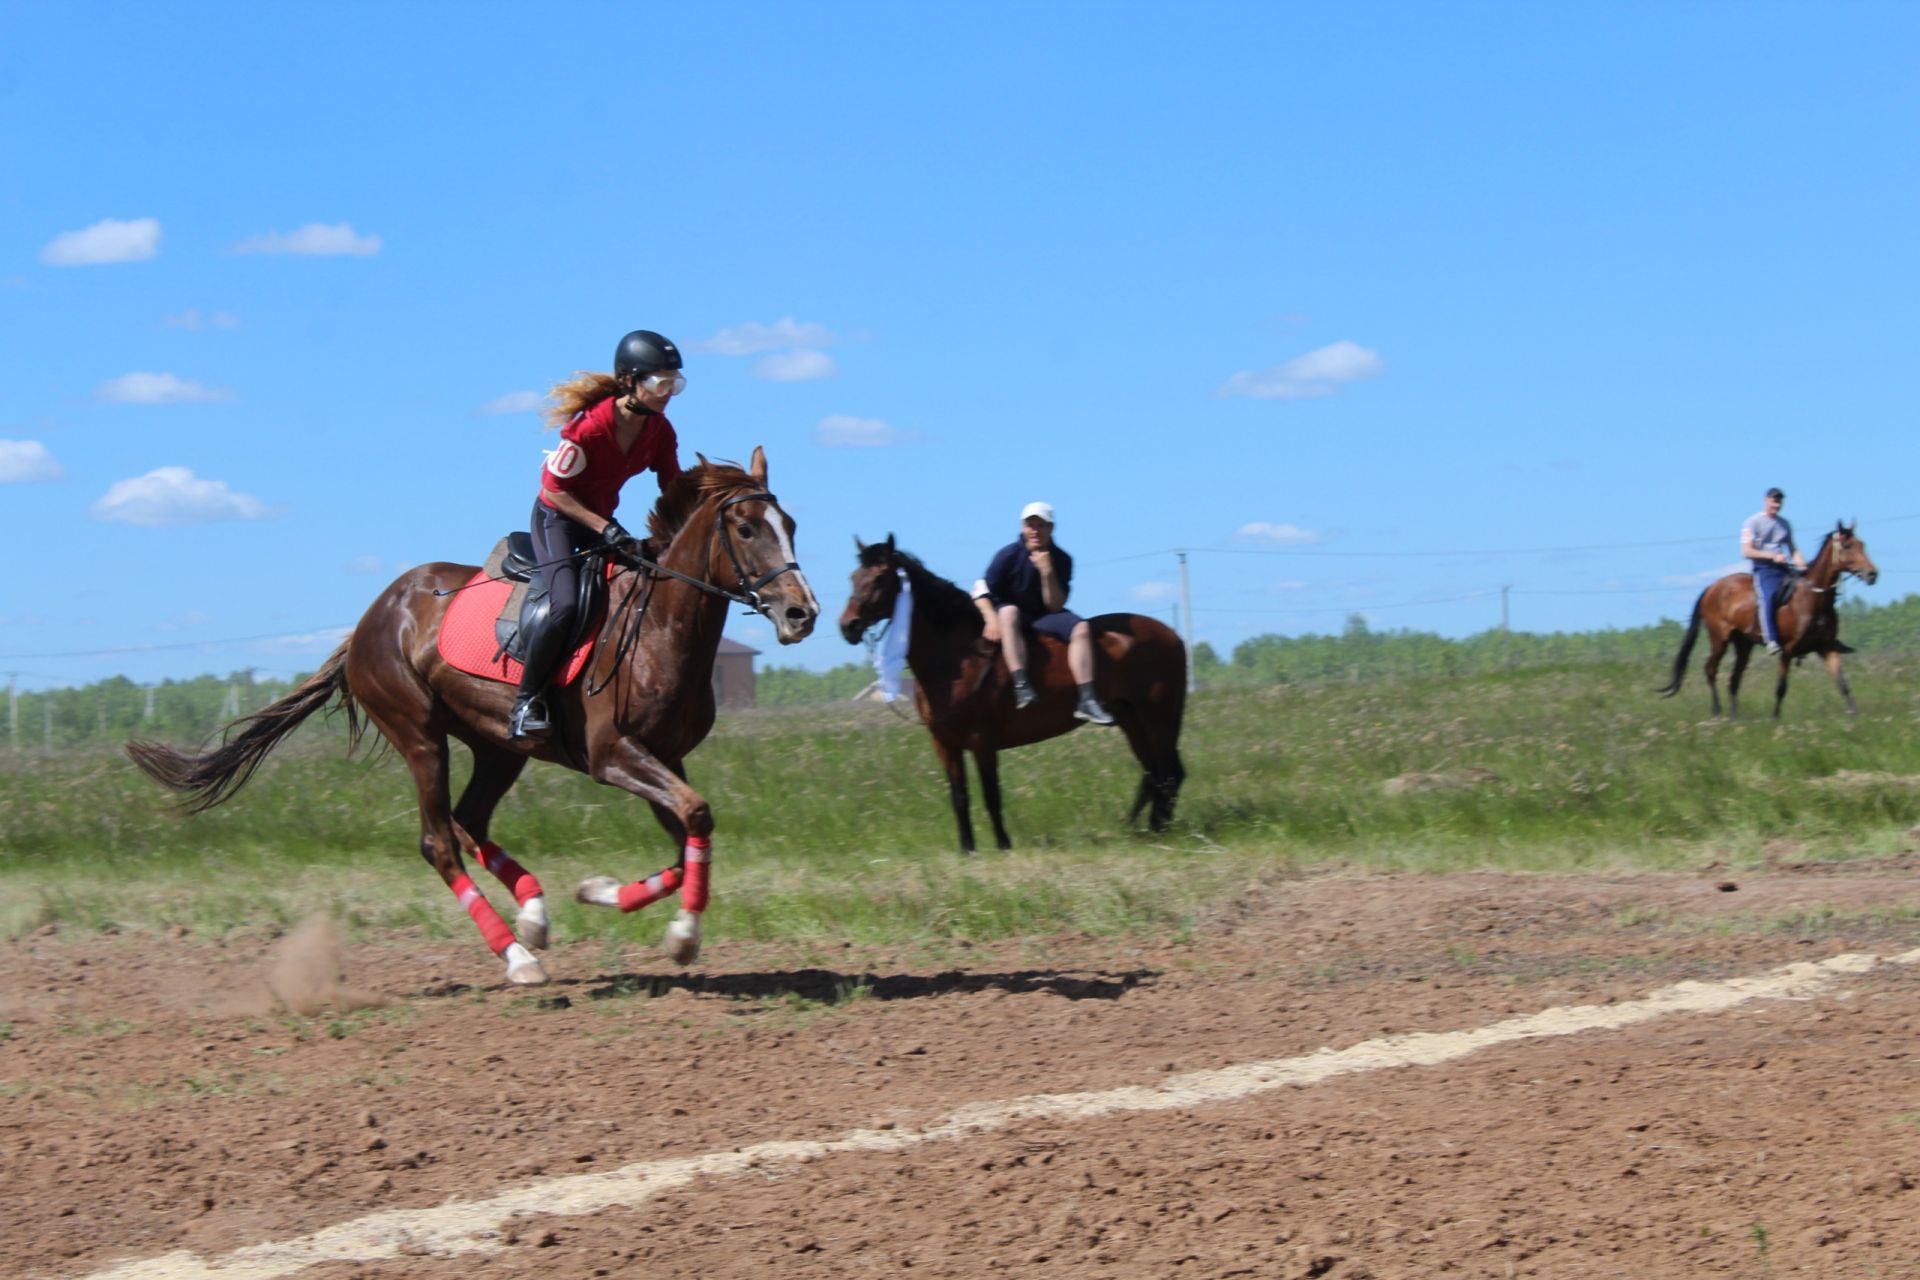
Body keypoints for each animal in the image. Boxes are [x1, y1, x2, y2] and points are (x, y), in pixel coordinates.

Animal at [127, 454, 817, 990]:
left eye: (790, 526)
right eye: (747, 528)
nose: (801, 613)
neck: (660, 630)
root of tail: (369, 619)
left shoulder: (664, 758)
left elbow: (689, 836)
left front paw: (606, 896)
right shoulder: (613, 755)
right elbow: (696, 818)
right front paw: (682, 936)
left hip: (498, 746)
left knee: (469, 821)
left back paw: (534, 912)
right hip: (420, 735)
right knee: (441, 840)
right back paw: (516, 957)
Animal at [840, 537, 1182, 855]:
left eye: (880, 577)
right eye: (854, 576)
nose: (848, 625)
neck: (960, 658)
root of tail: (1170, 633)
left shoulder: (982, 742)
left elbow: (991, 795)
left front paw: (1003, 845)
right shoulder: (945, 744)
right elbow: (959, 797)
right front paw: (967, 849)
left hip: (1159, 716)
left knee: (1170, 774)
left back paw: (1158, 829)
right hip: (1131, 718)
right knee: (1154, 774)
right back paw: (1144, 827)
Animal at [1658, 521, 1881, 721]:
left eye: (1862, 544)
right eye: (1848, 545)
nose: (1872, 574)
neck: (1813, 599)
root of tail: (1711, 588)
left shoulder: (1827, 648)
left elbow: (1842, 683)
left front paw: (1854, 714)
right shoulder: (1787, 650)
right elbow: (1781, 688)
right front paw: (1775, 719)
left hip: (1743, 644)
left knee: (1734, 679)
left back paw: (1734, 717)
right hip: (1719, 639)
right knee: (1711, 670)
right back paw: (1717, 712)